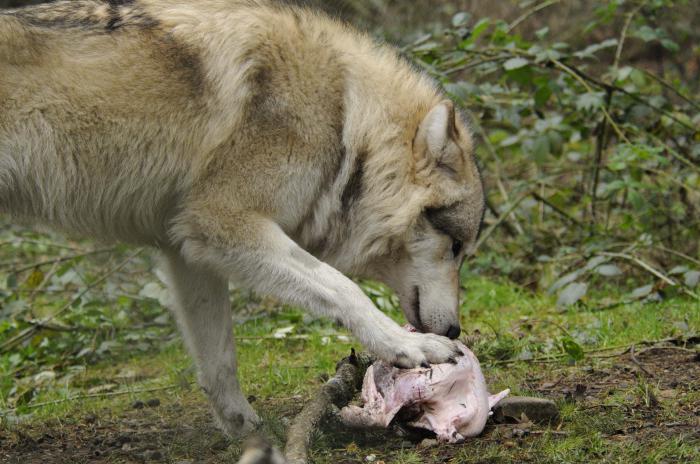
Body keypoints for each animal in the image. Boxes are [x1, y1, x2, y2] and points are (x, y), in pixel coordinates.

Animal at [1, 0, 486, 436]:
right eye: (456, 247)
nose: (457, 329)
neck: (344, 119)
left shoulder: (187, 251)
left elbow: (219, 358)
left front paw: (244, 428)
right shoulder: (224, 224)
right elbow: (342, 287)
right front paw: (408, 345)